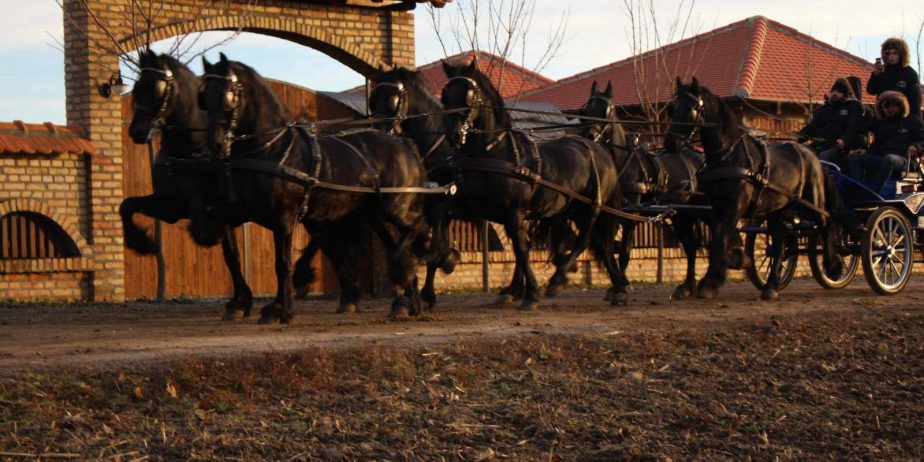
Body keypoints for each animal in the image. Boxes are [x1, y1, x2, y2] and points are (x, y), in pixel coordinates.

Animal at [119, 50, 256, 318]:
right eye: (137, 87)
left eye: (157, 89)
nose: (136, 132)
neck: (189, 150)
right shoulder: (169, 206)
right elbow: (127, 205)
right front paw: (141, 243)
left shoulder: (218, 211)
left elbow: (231, 255)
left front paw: (240, 301)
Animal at [194, 54, 430, 322]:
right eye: (203, 97)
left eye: (226, 93)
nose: (213, 144)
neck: (270, 148)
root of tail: (403, 143)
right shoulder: (234, 213)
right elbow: (231, 256)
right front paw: (239, 304)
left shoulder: (284, 218)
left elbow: (282, 263)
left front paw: (280, 308)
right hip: (378, 214)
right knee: (396, 242)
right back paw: (410, 301)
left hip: (394, 207)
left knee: (419, 226)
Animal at [438, 59, 620, 308]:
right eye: (446, 95)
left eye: (469, 94)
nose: (453, 134)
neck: (493, 151)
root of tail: (600, 151)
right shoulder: (477, 207)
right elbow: (445, 218)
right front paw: (448, 259)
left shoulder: (514, 212)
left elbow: (522, 250)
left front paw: (531, 293)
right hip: (572, 209)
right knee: (600, 244)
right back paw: (619, 289)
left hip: (589, 208)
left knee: (585, 241)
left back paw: (559, 279)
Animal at [576, 79, 708, 300]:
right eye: (587, 109)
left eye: (605, 109)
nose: (589, 135)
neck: (622, 164)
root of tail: (699, 158)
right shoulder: (614, 213)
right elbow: (611, 248)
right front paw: (617, 284)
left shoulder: (631, 215)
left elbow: (626, 250)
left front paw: (620, 286)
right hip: (682, 215)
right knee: (690, 245)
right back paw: (687, 286)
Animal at [664, 76, 844, 300]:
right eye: (672, 109)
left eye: (691, 110)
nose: (670, 143)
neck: (729, 155)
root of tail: (812, 154)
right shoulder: (716, 207)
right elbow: (718, 239)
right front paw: (736, 261)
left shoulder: (735, 206)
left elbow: (720, 238)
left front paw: (711, 282)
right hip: (778, 208)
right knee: (778, 243)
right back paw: (771, 286)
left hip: (812, 200)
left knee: (825, 224)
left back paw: (833, 266)